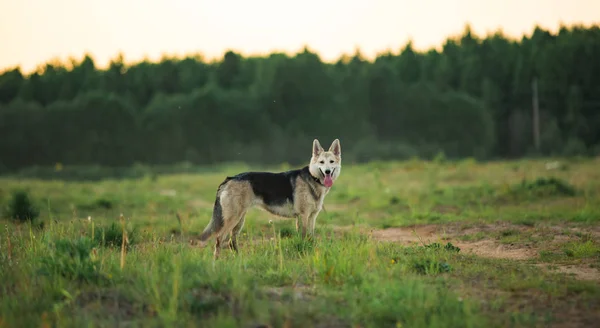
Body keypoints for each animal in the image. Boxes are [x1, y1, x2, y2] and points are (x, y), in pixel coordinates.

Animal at [198, 138, 342, 258]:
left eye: (331, 162)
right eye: (321, 162)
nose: (328, 171)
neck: (313, 178)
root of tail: (230, 178)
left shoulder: (312, 217)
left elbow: (311, 238)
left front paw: (311, 252)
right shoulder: (303, 217)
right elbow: (303, 238)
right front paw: (304, 253)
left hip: (239, 220)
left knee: (231, 242)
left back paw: (238, 261)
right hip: (233, 219)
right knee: (219, 239)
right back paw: (216, 263)